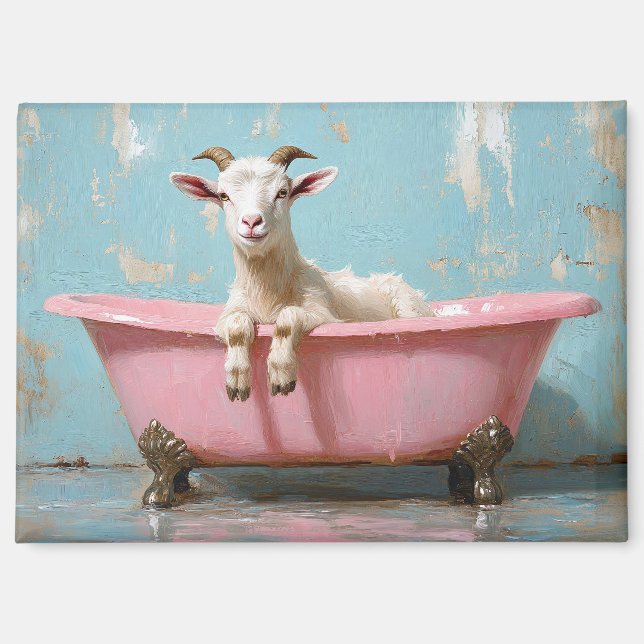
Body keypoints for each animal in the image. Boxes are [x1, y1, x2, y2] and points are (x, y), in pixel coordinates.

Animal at [170, 146, 433, 402]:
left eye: (282, 192)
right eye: (224, 196)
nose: (252, 222)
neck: (267, 295)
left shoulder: (323, 312)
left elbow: (288, 317)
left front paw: (281, 376)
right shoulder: (229, 313)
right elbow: (237, 326)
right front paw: (237, 382)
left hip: (408, 307)